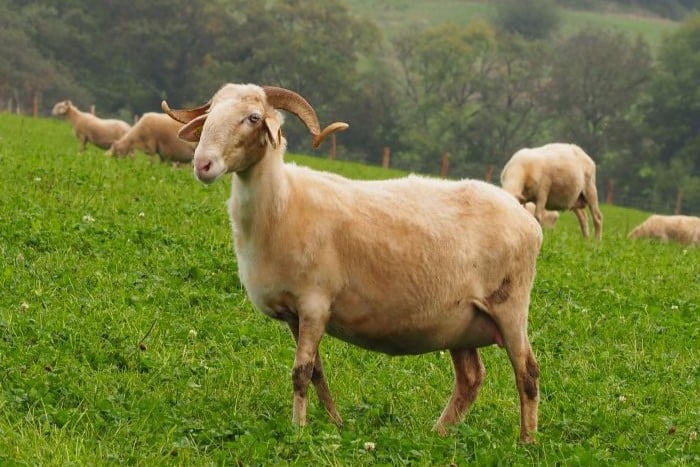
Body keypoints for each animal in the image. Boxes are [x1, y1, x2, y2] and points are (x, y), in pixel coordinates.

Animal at [164, 83, 548, 442]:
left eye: (253, 118)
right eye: (209, 113)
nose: (203, 164)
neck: (284, 201)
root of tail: (527, 218)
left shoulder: (315, 302)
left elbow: (300, 373)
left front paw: (298, 430)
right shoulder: (294, 313)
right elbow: (316, 372)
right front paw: (336, 423)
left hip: (510, 306)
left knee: (527, 373)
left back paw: (526, 441)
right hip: (460, 322)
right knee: (470, 379)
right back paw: (437, 434)